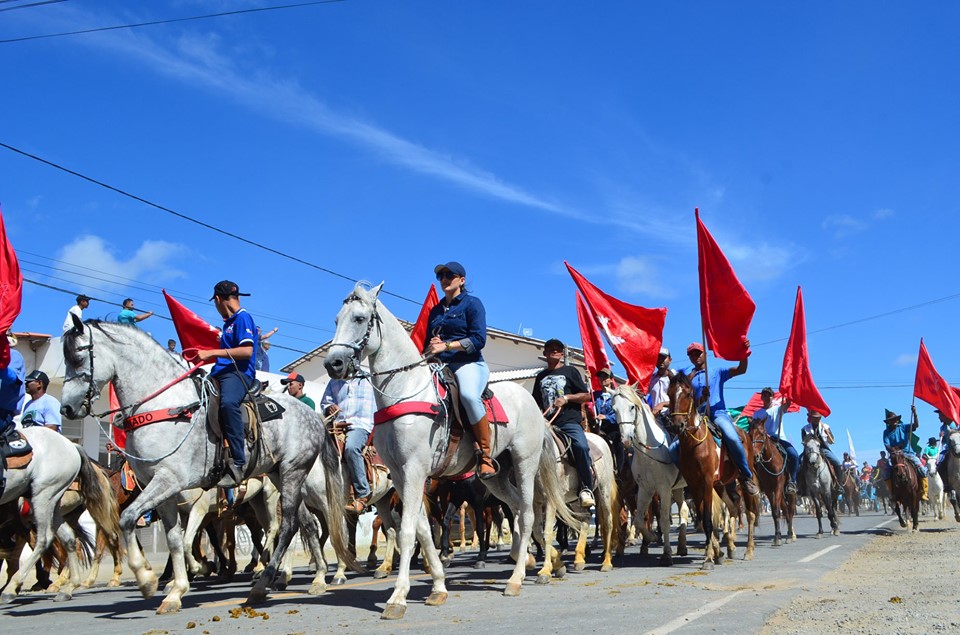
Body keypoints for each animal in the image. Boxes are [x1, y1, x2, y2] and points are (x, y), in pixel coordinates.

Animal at [0, 426, 118, 604]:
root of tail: (72, 446)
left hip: (44, 495)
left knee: (45, 540)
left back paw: (11, 589)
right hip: (55, 504)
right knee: (70, 539)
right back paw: (68, 587)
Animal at [60, 319, 356, 613]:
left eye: (78, 357)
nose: (67, 409)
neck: (166, 408)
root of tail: (314, 417)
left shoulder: (170, 483)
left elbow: (131, 519)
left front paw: (147, 578)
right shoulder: (165, 493)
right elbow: (176, 540)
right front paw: (176, 590)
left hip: (293, 473)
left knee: (290, 526)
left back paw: (265, 582)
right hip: (279, 474)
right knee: (306, 524)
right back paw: (312, 577)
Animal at [323, 283, 576, 620]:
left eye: (360, 318)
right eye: (336, 318)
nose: (333, 364)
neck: (406, 390)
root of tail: (532, 404)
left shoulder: (415, 471)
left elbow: (407, 531)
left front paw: (397, 598)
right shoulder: (401, 477)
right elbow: (422, 529)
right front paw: (439, 587)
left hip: (525, 464)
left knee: (527, 514)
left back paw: (517, 578)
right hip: (495, 476)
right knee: (517, 511)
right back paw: (549, 563)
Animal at [612, 384, 688, 565]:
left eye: (632, 407)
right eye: (614, 409)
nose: (626, 440)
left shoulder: (663, 489)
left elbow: (664, 520)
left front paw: (666, 555)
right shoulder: (644, 489)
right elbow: (640, 519)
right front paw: (652, 537)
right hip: (678, 488)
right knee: (684, 510)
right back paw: (682, 546)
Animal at [665, 372, 756, 569]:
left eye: (688, 394)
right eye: (669, 394)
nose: (677, 426)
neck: (695, 443)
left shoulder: (706, 483)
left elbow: (707, 519)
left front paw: (708, 559)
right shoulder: (694, 484)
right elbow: (703, 517)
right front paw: (717, 553)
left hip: (743, 478)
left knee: (750, 513)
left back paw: (749, 551)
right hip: (722, 484)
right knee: (733, 508)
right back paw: (730, 547)